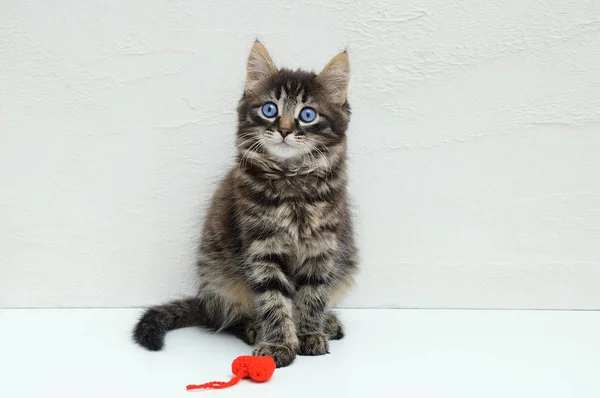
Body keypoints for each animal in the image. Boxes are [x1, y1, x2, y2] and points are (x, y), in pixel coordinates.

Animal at [132, 40, 356, 366]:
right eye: (269, 109)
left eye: (308, 115)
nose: (285, 130)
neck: (291, 183)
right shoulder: (262, 247)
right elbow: (273, 300)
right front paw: (278, 344)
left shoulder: (322, 247)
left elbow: (313, 296)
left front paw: (309, 333)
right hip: (220, 278)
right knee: (227, 319)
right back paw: (253, 328)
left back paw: (328, 322)